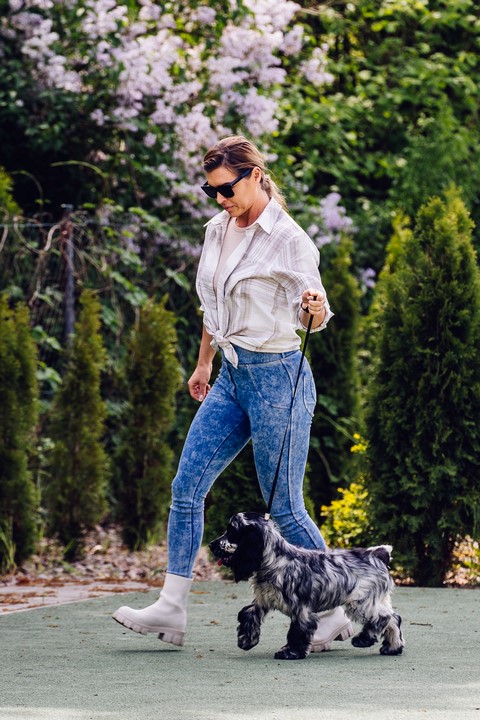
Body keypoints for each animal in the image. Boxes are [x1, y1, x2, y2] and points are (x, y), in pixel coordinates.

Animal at [209, 511, 404, 660]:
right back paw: (392, 648)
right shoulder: (263, 600)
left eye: (232, 531)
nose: (211, 545)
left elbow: (297, 631)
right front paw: (246, 640)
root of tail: (378, 554)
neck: (275, 560)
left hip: (361, 601)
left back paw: (363, 640)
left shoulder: (301, 608)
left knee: (382, 618)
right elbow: (248, 613)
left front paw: (289, 652)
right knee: (393, 619)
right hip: (376, 599)